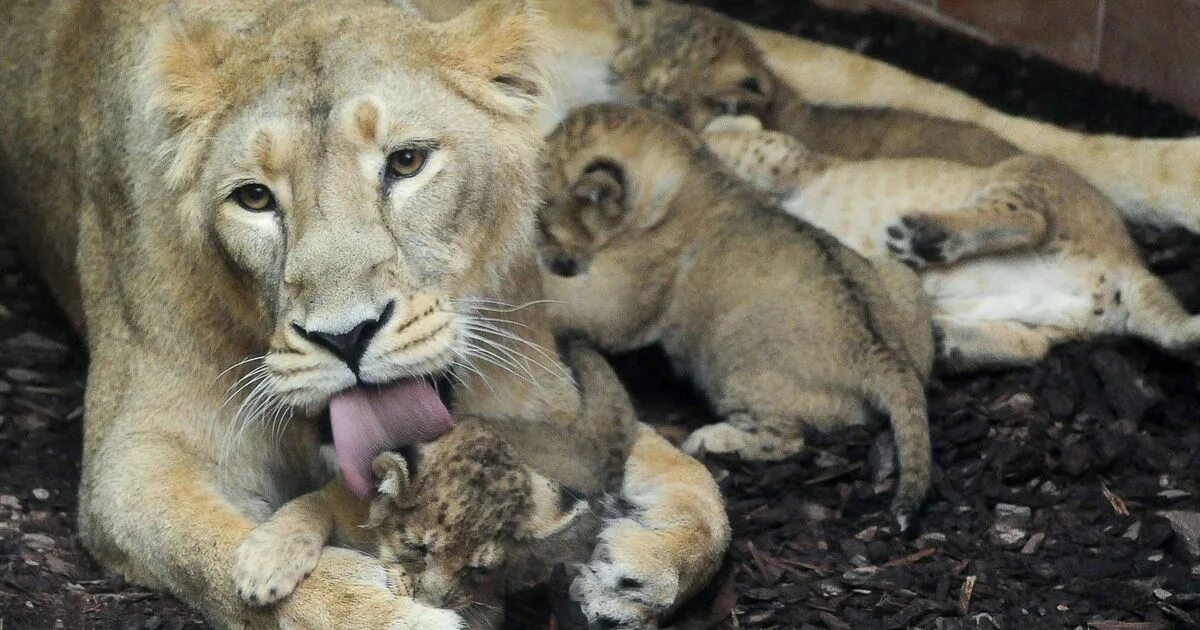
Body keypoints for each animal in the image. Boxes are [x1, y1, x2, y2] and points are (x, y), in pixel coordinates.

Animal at [0, 2, 724, 624]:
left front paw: (637, 565)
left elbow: (696, 489)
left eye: (407, 161)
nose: (345, 338)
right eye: (254, 198)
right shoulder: (136, 463)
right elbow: (222, 559)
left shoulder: (539, 394)